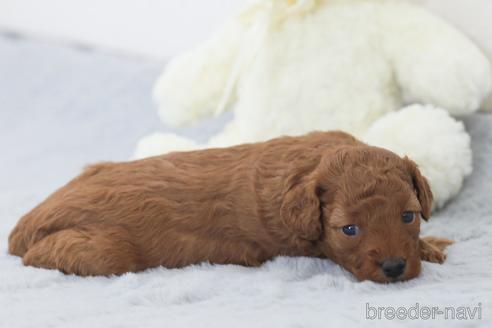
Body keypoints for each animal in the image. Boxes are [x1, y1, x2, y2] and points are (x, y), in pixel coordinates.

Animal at [8, 131, 454, 282]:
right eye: (349, 230)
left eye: (408, 216)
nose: (395, 268)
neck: (306, 166)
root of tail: (28, 222)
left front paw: (428, 246)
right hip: (100, 251)